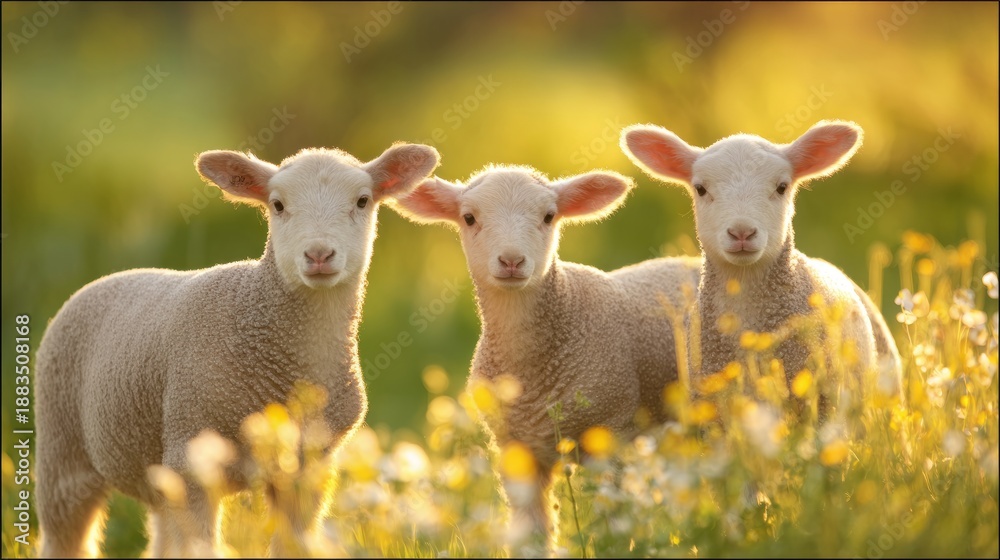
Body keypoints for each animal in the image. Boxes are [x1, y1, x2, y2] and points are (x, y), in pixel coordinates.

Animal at [34, 143, 440, 558]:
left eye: (362, 201)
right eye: (277, 204)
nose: (319, 255)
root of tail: (109, 277)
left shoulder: (308, 467)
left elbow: (292, 545)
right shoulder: (191, 457)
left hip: (155, 470)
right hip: (63, 450)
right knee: (64, 537)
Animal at [390, 165, 700, 554]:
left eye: (549, 216)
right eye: (469, 217)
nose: (511, 261)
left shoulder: (614, 432)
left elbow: (614, 527)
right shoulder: (516, 449)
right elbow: (532, 534)